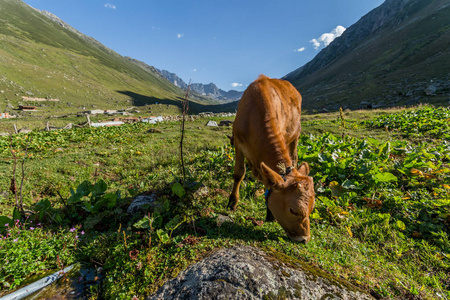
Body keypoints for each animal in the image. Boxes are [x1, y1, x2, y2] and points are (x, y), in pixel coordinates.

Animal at [227, 74, 314, 243]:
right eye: (293, 210)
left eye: (311, 209)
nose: (304, 239)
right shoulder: (238, 142)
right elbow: (239, 173)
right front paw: (232, 204)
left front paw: (269, 214)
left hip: (295, 136)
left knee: (294, 158)